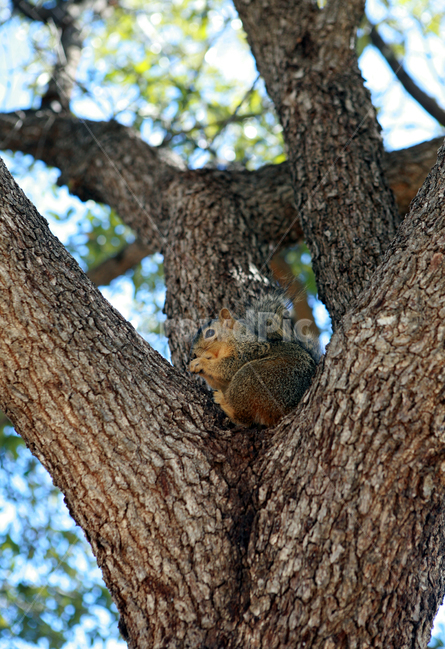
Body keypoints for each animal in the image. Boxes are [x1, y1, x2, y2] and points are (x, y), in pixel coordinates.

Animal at [189, 294, 320, 428]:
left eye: (210, 333)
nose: (193, 354)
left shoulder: (249, 349)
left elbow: (229, 367)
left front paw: (200, 362)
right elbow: (221, 381)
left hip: (256, 377)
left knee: (244, 419)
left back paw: (223, 402)